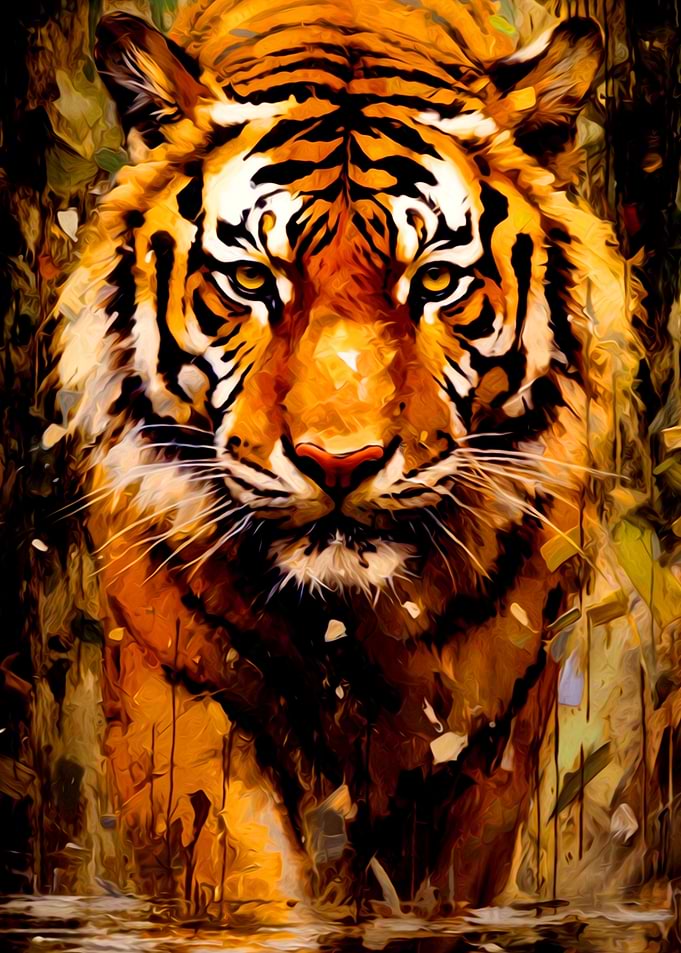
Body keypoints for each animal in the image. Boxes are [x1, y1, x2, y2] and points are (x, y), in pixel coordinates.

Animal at [50, 0, 642, 920]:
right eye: (252, 280)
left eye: (434, 282)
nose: (338, 463)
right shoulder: (175, 688)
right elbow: (245, 880)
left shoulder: (488, 733)